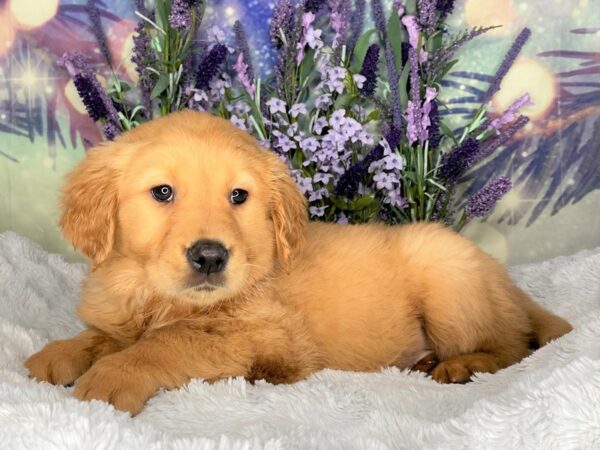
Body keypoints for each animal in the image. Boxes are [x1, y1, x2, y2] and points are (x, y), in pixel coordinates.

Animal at [23, 110, 576, 414]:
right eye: (162, 192)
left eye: (238, 196)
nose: (210, 256)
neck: (155, 294)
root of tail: (504, 281)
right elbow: (105, 336)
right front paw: (61, 353)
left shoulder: (268, 339)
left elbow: (166, 342)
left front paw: (113, 376)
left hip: (446, 276)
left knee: (512, 345)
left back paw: (460, 365)